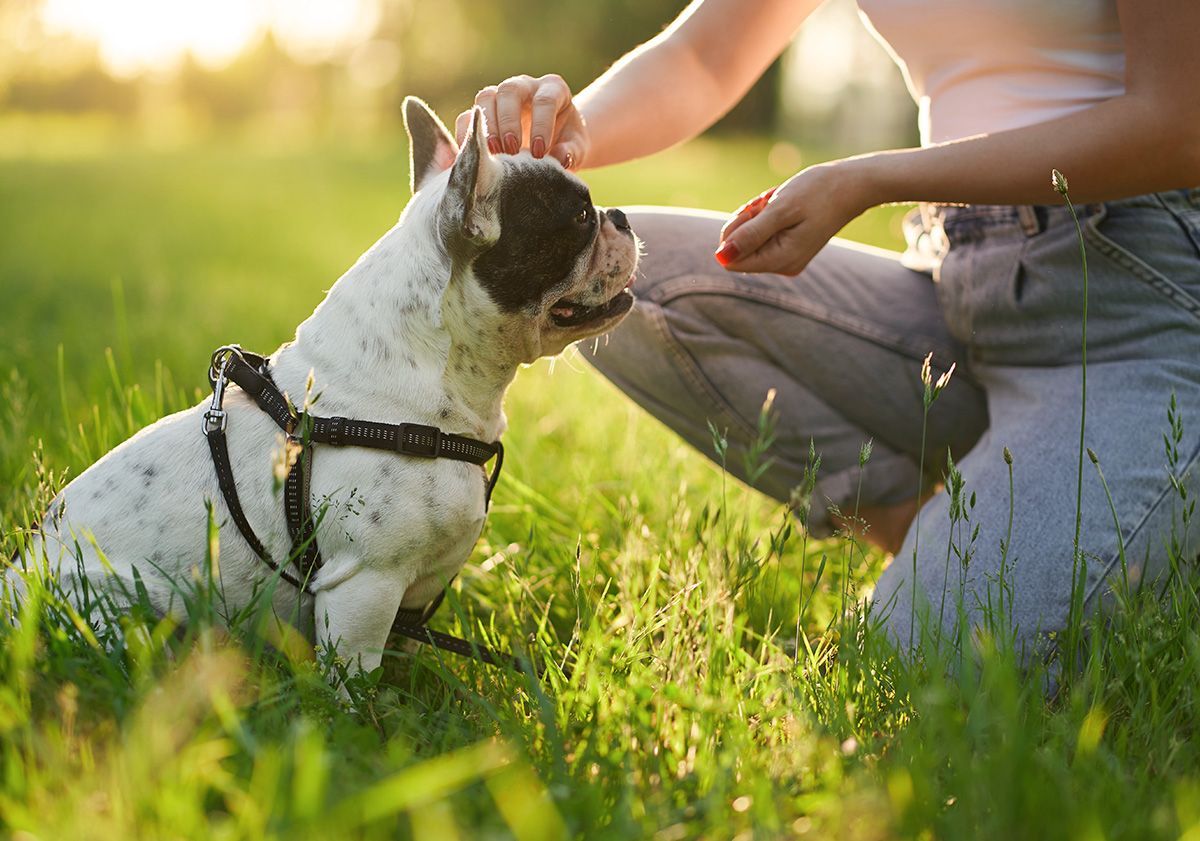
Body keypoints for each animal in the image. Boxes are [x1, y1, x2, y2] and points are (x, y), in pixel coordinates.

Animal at [9, 98, 643, 676]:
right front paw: (367, 721)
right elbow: (356, 680)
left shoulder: (411, 599)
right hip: (123, 613)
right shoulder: (365, 586)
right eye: (579, 218)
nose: (619, 215)